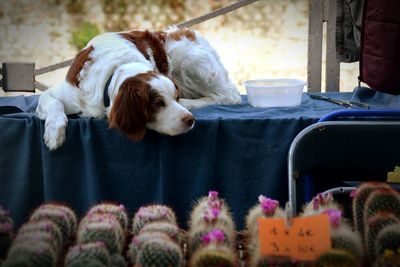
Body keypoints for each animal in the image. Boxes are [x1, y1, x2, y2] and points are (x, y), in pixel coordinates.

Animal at [36, 28, 241, 152]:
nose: (190, 120)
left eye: (174, 97)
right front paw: (54, 133)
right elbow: (54, 104)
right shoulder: (61, 93)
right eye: (158, 103)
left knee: (229, 96)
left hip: (188, 57)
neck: (114, 71)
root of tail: (190, 31)